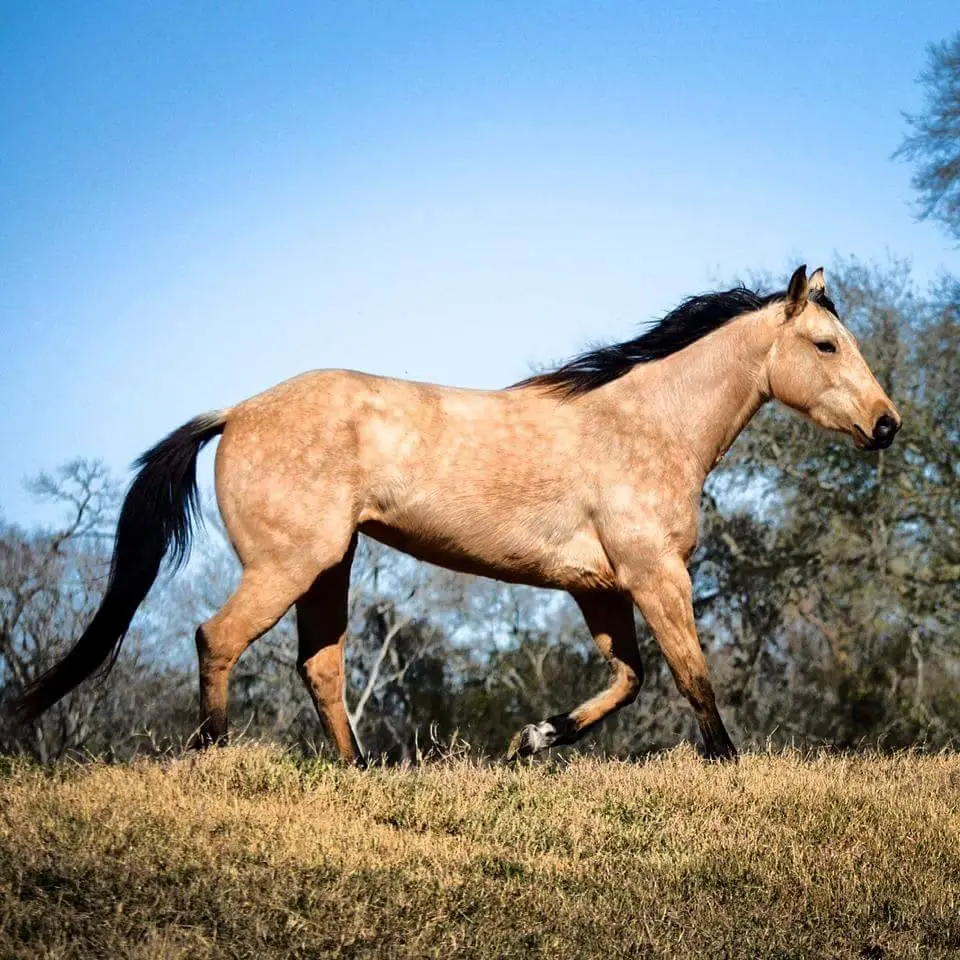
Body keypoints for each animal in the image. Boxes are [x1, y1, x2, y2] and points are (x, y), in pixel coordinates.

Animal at [11, 265, 901, 762]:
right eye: (826, 345)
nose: (887, 424)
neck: (645, 423)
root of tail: (236, 412)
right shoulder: (653, 573)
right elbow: (691, 675)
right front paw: (726, 765)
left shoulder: (599, 587)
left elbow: (631, 677)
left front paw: (533, 741)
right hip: (287, 565)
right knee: (217, 639)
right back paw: (210, 756)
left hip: (329, 567)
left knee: (321, 666)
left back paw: (363, 770)